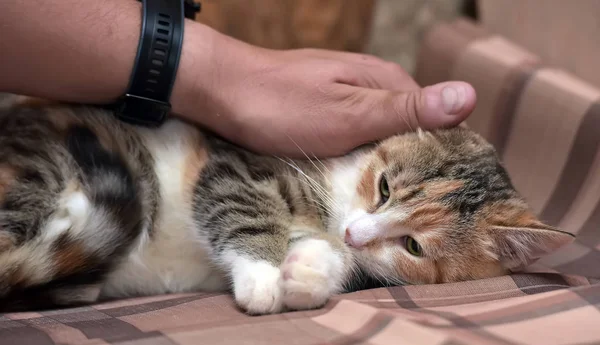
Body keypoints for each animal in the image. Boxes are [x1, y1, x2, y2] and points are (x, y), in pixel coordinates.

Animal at [0, 98, 576, 314]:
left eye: (413, 245)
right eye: (384, 188)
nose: (354, 234)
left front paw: (308, 272)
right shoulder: (241, 161)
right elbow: (242, 207)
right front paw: (262, 277)